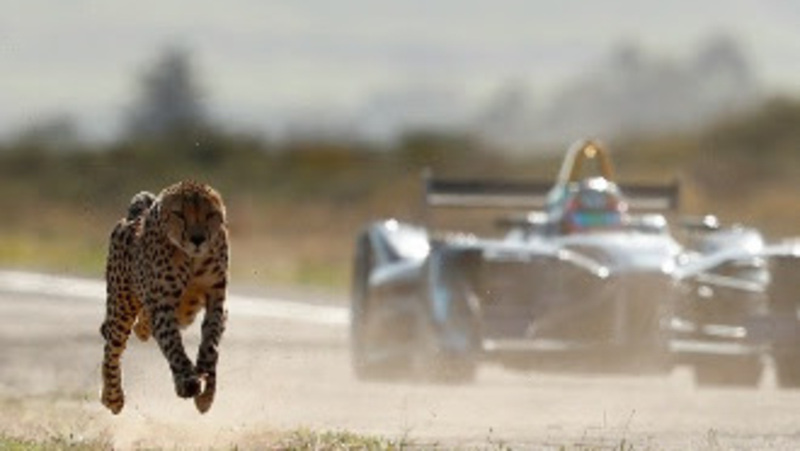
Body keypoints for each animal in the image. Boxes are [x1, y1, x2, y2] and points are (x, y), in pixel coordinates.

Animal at [101, 182, 228, 414]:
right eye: (180, 214)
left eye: (210, 214)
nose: (198, 239)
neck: (192, 259)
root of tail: (133, 217)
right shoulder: (163, 305)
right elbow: (172, 343)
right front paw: (187, 380)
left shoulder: (216, 299)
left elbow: (211, 342)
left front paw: (206, 391)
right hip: (121, 306)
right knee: (112, 349)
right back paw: (112, 397)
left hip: (186, 310)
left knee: (144, 324)